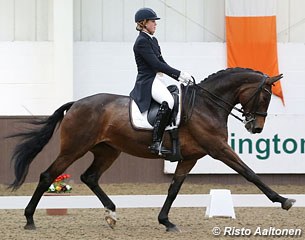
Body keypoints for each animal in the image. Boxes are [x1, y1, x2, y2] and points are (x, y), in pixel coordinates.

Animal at [10, 67, 294, 231]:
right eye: (265, 96)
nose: (256, 128)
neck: (207, 105)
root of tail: (76, 103)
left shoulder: (190, 157)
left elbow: (174, 189)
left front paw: (165, 221)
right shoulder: (218, 148)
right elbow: (250, 173)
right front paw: (283, 200)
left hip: (108, 150)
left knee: (89, 177)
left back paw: (112, 213)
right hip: (74, 148)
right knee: (48, 176)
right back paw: (29, 220)